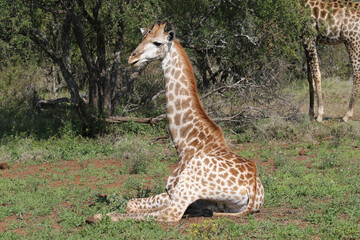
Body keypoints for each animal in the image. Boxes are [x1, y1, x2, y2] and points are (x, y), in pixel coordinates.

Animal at [93, 22, 264, 223]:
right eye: (142, 38)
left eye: (157, 43)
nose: (132, 58)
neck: (185, 143)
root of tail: (252, 190)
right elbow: (132, 203)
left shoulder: (173, 191)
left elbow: (132, 204)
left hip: (189, 185)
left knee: (170, 214)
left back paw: (99, 216)